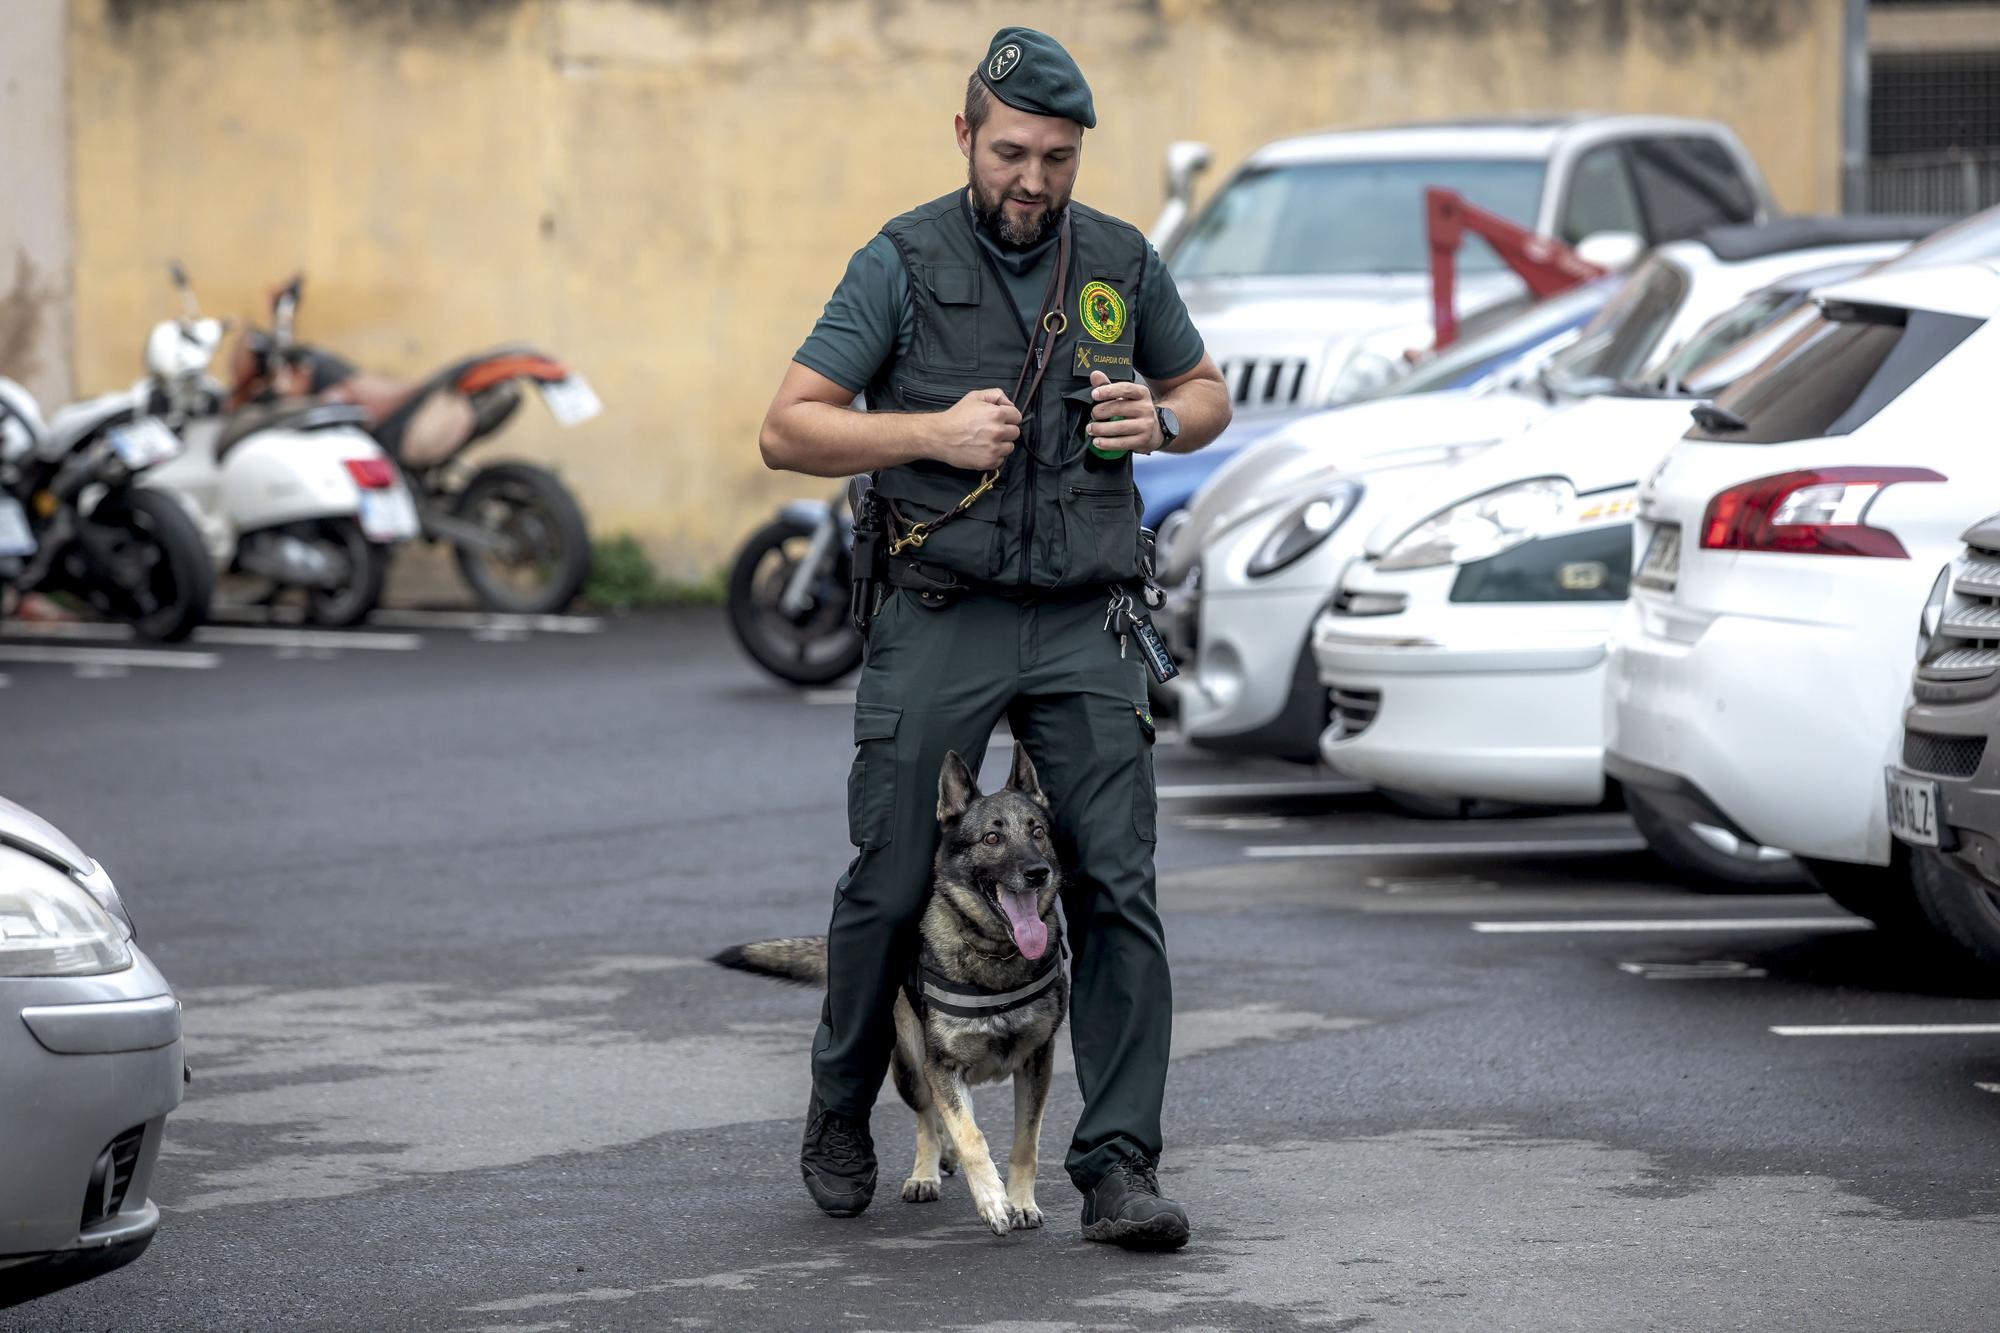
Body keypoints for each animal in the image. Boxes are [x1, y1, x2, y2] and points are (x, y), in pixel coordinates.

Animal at [712, 740, 1072, 1232]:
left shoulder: (1038, 1061)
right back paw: (926, 1172)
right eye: (991, 839)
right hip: (911, 1065)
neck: (994, 952)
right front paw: (993, 1198)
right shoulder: (942, 1065)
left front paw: (1020, 1201)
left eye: (1037, 832)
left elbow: (1025, 1142)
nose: (1037, 872)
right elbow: (971, 1135)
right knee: (927, 1117)